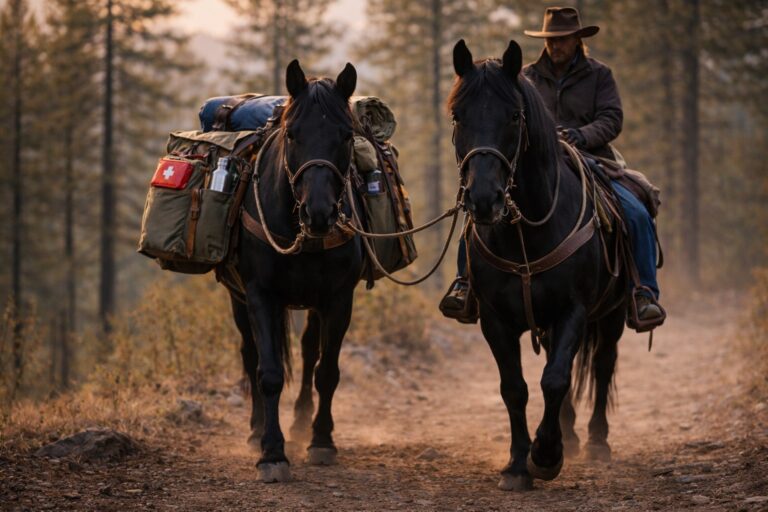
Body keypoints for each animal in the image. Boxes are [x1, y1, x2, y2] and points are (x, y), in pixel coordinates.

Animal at [229, 59, 363, 483]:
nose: (318, 213)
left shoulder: (338, 299)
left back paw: (303, 423)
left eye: (346, 135)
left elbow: (327, 370)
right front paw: (271, 452)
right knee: (249, 352)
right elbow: (268, 371)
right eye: (292, 134)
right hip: (237, 298)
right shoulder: (259, 294)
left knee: (308, 352)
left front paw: (321, 440)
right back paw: (255, 430)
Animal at [448, 39, 627, 491]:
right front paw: (517, 464)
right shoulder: (495, 319)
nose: (484, 199)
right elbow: (515, 387)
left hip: (613, 313)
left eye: (514, 115)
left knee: (602, 366)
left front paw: (545, 456)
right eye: (458, 115)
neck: (525, 237)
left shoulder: (573, 311)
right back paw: (569, 435)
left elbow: (556, 378)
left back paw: (596, 442)